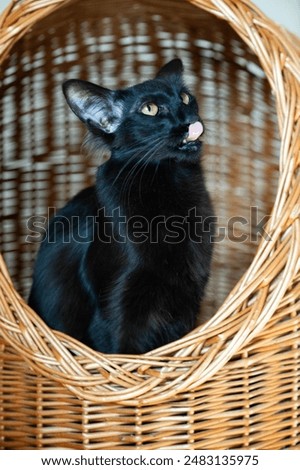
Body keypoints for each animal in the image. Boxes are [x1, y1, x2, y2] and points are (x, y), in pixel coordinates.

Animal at [28, 57, 214, 352]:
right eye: (149, 109)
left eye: (185, 97)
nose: (189, 120)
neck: (168, 182)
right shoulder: (116, 310)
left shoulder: (188, 302)